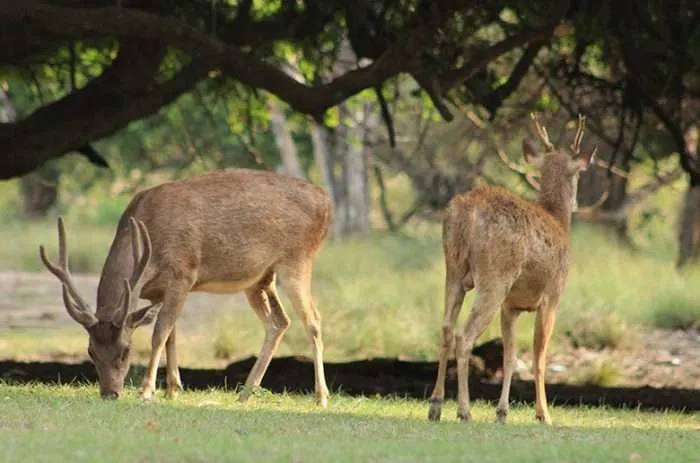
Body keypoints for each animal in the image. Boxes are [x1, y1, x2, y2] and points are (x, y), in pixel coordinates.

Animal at [39, 168, 334, 406]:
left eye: (126, 350)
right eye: (90, 351)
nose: (110, 393)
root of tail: (326, 202)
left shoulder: (183, 275)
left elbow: (159, 333)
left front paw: (147, 391)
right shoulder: (159, 291)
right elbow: (171, 335)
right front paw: (172, 389)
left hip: (297, 260)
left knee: (314, 320)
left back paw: (321, 397)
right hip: (260, 278)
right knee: (278, 321)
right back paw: (245, 393)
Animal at [426, 112, 596, 424]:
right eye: (578, 173)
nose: (578, 203)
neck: (558, 220)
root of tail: (466, 213)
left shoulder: (511, 305)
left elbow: (510, 355)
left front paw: (502, 412)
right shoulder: (552, 297)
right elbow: (539, 356)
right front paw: (544, 414)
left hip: (453, 270)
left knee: (446, 328)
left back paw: (435, 405)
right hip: (494, 277)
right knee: (464, 336)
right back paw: (463, 410)